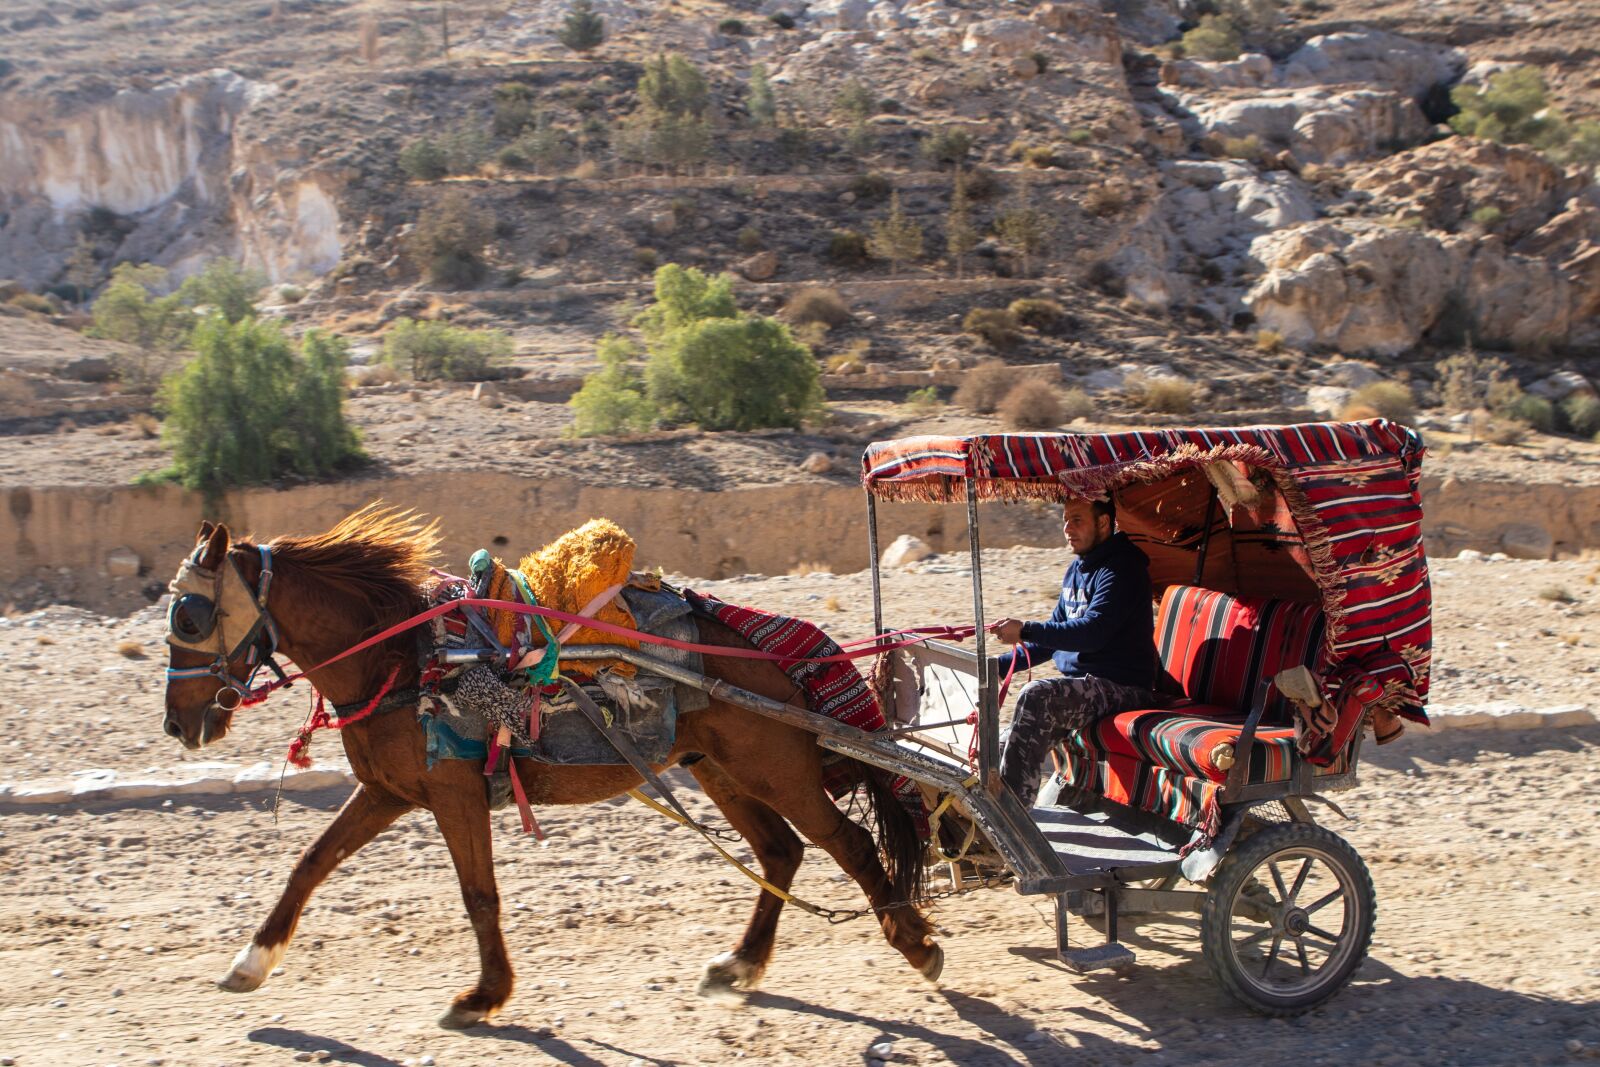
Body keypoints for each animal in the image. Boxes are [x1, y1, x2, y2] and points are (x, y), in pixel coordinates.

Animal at [160, 506, 939, 1028]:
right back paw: (739, 963)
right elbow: (310, 864)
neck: (401, 660)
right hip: (719, 769)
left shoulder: (452, 793)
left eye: (190, 617)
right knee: (781, 851)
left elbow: (479, 895)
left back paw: (915, 943)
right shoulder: (388, 791)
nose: (178, 723)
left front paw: (484, 994)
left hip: (777, 769)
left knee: (849, 843)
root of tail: (765, 647)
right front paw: (251, 962)